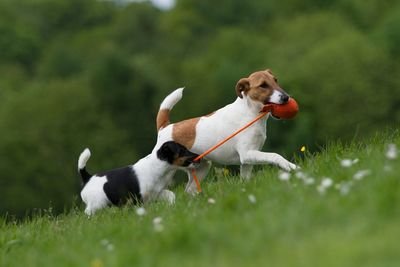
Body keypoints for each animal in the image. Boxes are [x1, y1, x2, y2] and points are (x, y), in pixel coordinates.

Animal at [152, 69, 296, 195]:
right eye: (263, 85)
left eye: (275, 80)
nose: (286, 98)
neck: (250, 112)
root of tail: (165, 128)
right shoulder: (247, 154)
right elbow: (274, 155)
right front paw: (290, 166)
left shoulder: (248, 160)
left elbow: (246, 179)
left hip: (202, 167)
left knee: (189, 190)